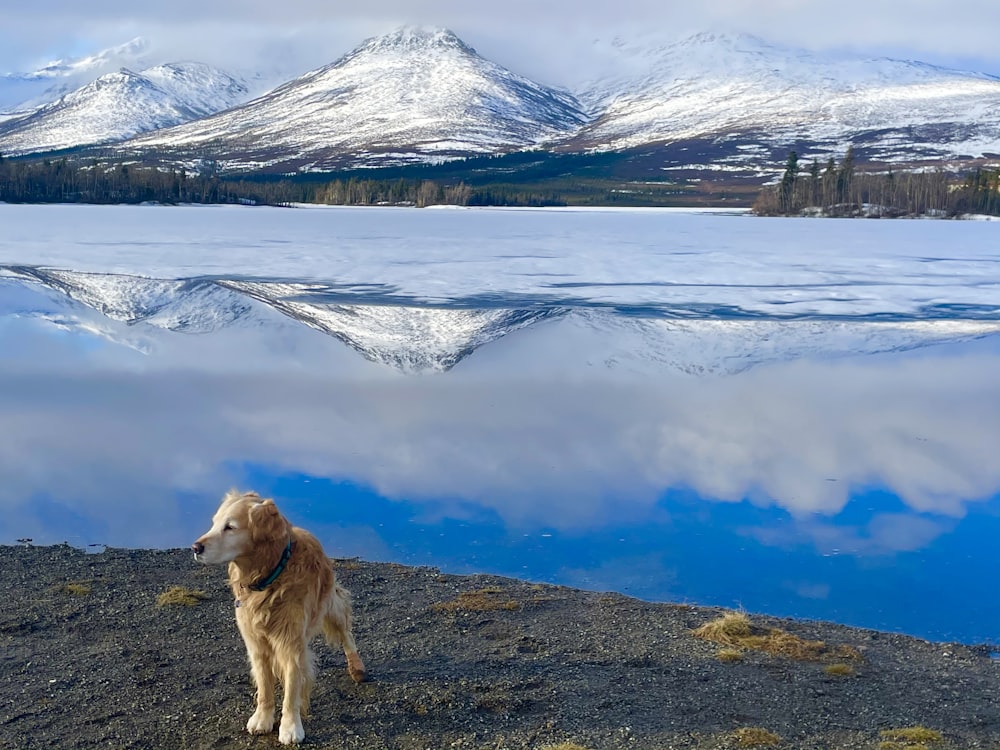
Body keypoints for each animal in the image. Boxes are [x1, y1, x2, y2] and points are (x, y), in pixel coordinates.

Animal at [191, 490, 364, 744]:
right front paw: (262, 718)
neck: (268, 579)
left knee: (346, 631)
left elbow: (292, 690)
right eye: (214, 523)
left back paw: (357, 666)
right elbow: (264, 687)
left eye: (230, 527)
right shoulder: (256, 643)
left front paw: (290, 727)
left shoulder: (291, 643)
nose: (195, 547)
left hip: (331, 604)